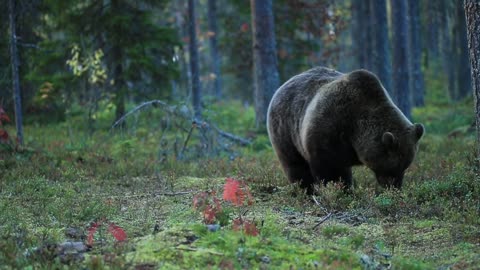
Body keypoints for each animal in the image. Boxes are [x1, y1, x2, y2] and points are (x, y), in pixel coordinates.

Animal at [266, 66, 424, 193]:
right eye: (392, 167)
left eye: (405, 166)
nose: (394, 187)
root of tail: (283, 85)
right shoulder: (328, 131)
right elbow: (330, 169)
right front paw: (337, 190)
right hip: (285, 128)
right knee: (295, 164)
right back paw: (306, 190)